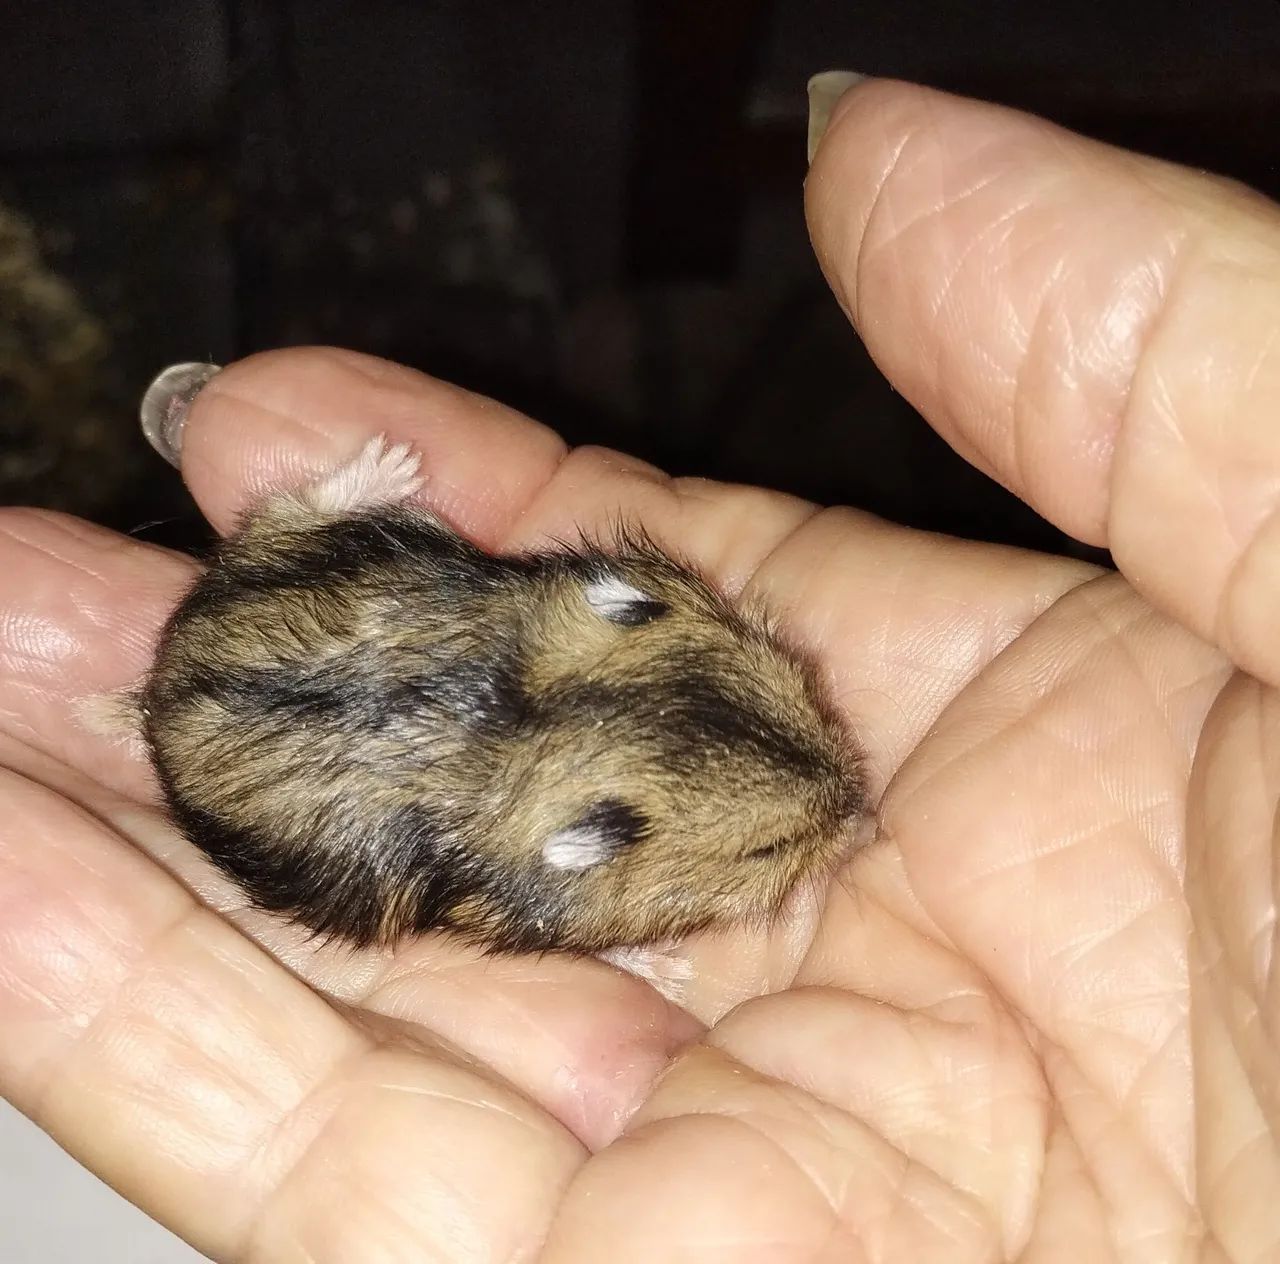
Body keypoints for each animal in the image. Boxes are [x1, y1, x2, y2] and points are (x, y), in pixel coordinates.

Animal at [134, 436, 866, 973]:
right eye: (768, 850)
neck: (530, 722)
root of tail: (162, 677)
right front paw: (668, 968)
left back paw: (393, 463)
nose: (863, 810)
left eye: (806, 690)